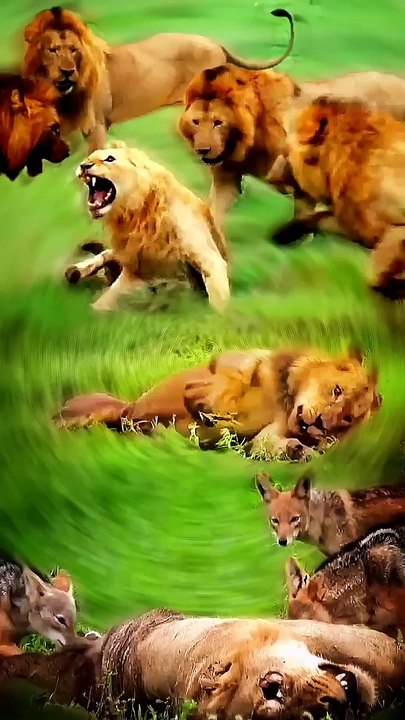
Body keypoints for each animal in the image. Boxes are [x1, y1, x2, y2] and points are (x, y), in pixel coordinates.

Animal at [54, 346, 381, 460]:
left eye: (347, 419)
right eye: (337, 390)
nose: (321, 424)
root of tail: (128, 410)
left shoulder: (266, 436)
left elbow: (269, 444)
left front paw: (303, 450)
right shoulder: (232, 365)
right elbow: (226, 386)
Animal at [64, 141, 229, 312]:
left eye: (110, 159)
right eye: (89, 158)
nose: (84, 165)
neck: (137, 214)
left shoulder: (210, 261)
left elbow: (217, 304)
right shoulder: (135, 269)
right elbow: (102, 303)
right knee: (106, 254)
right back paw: (75, 271)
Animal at [178, 63, 405, 226]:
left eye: (218, 122)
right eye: (196, 122)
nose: (202, 150)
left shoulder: (304, 183)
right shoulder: (226, 178)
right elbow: (213, 215)